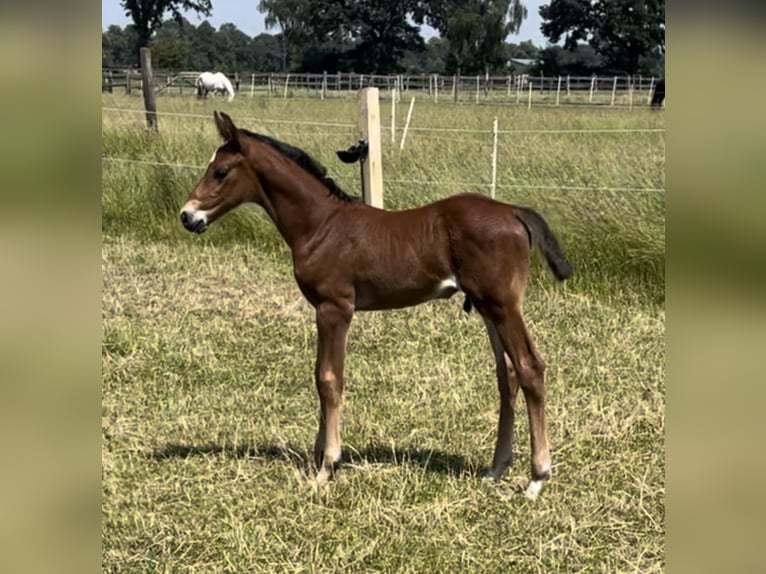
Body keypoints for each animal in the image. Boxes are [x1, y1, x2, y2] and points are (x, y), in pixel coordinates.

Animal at [182, 111, 576, 500]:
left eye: (221, 171)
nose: (188, 216)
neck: (321, 226)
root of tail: (514, 212)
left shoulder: (335, 308)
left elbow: (329, 379)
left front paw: (326, 468)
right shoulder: (323, 310)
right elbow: (319, 375)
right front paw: (319, 455)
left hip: (503, 305)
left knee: (529, 367)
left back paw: (537, 478)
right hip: (487, 307)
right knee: (506, 374)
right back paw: (495, 470)